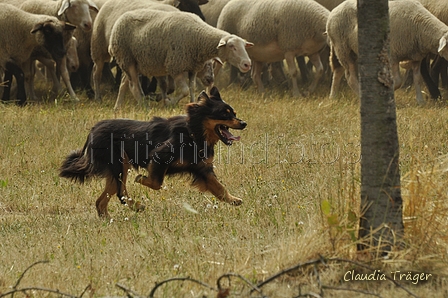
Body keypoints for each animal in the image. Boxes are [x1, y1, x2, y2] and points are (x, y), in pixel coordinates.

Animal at [58, 86, 247, 217]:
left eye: (234, 113)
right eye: (224, 114)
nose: (244, 123)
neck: (193, 132)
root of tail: (93, 130)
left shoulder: (202, 168)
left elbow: (219, 187)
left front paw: (233, 200)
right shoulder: (159, 156)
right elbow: (156, 183)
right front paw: (141, 179)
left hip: (116, 169)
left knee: (104, 199)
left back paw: (107, 218)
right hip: (120, 163)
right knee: (120, 193)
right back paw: (137, 206)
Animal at [107, 9, 250, 109]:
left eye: (243, 46)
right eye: (232, 46)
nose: (247, 64)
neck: (198, 36)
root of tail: (119, 20)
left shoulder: (192, 68)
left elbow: (192, 87)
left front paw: (193, 104)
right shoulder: (176, 66)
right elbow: (185, 90)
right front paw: (169, 102)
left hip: (133, 62)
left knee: (124, 83)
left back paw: (117, 107)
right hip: (127, 58)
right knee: (134, 86)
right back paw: (145, 107)